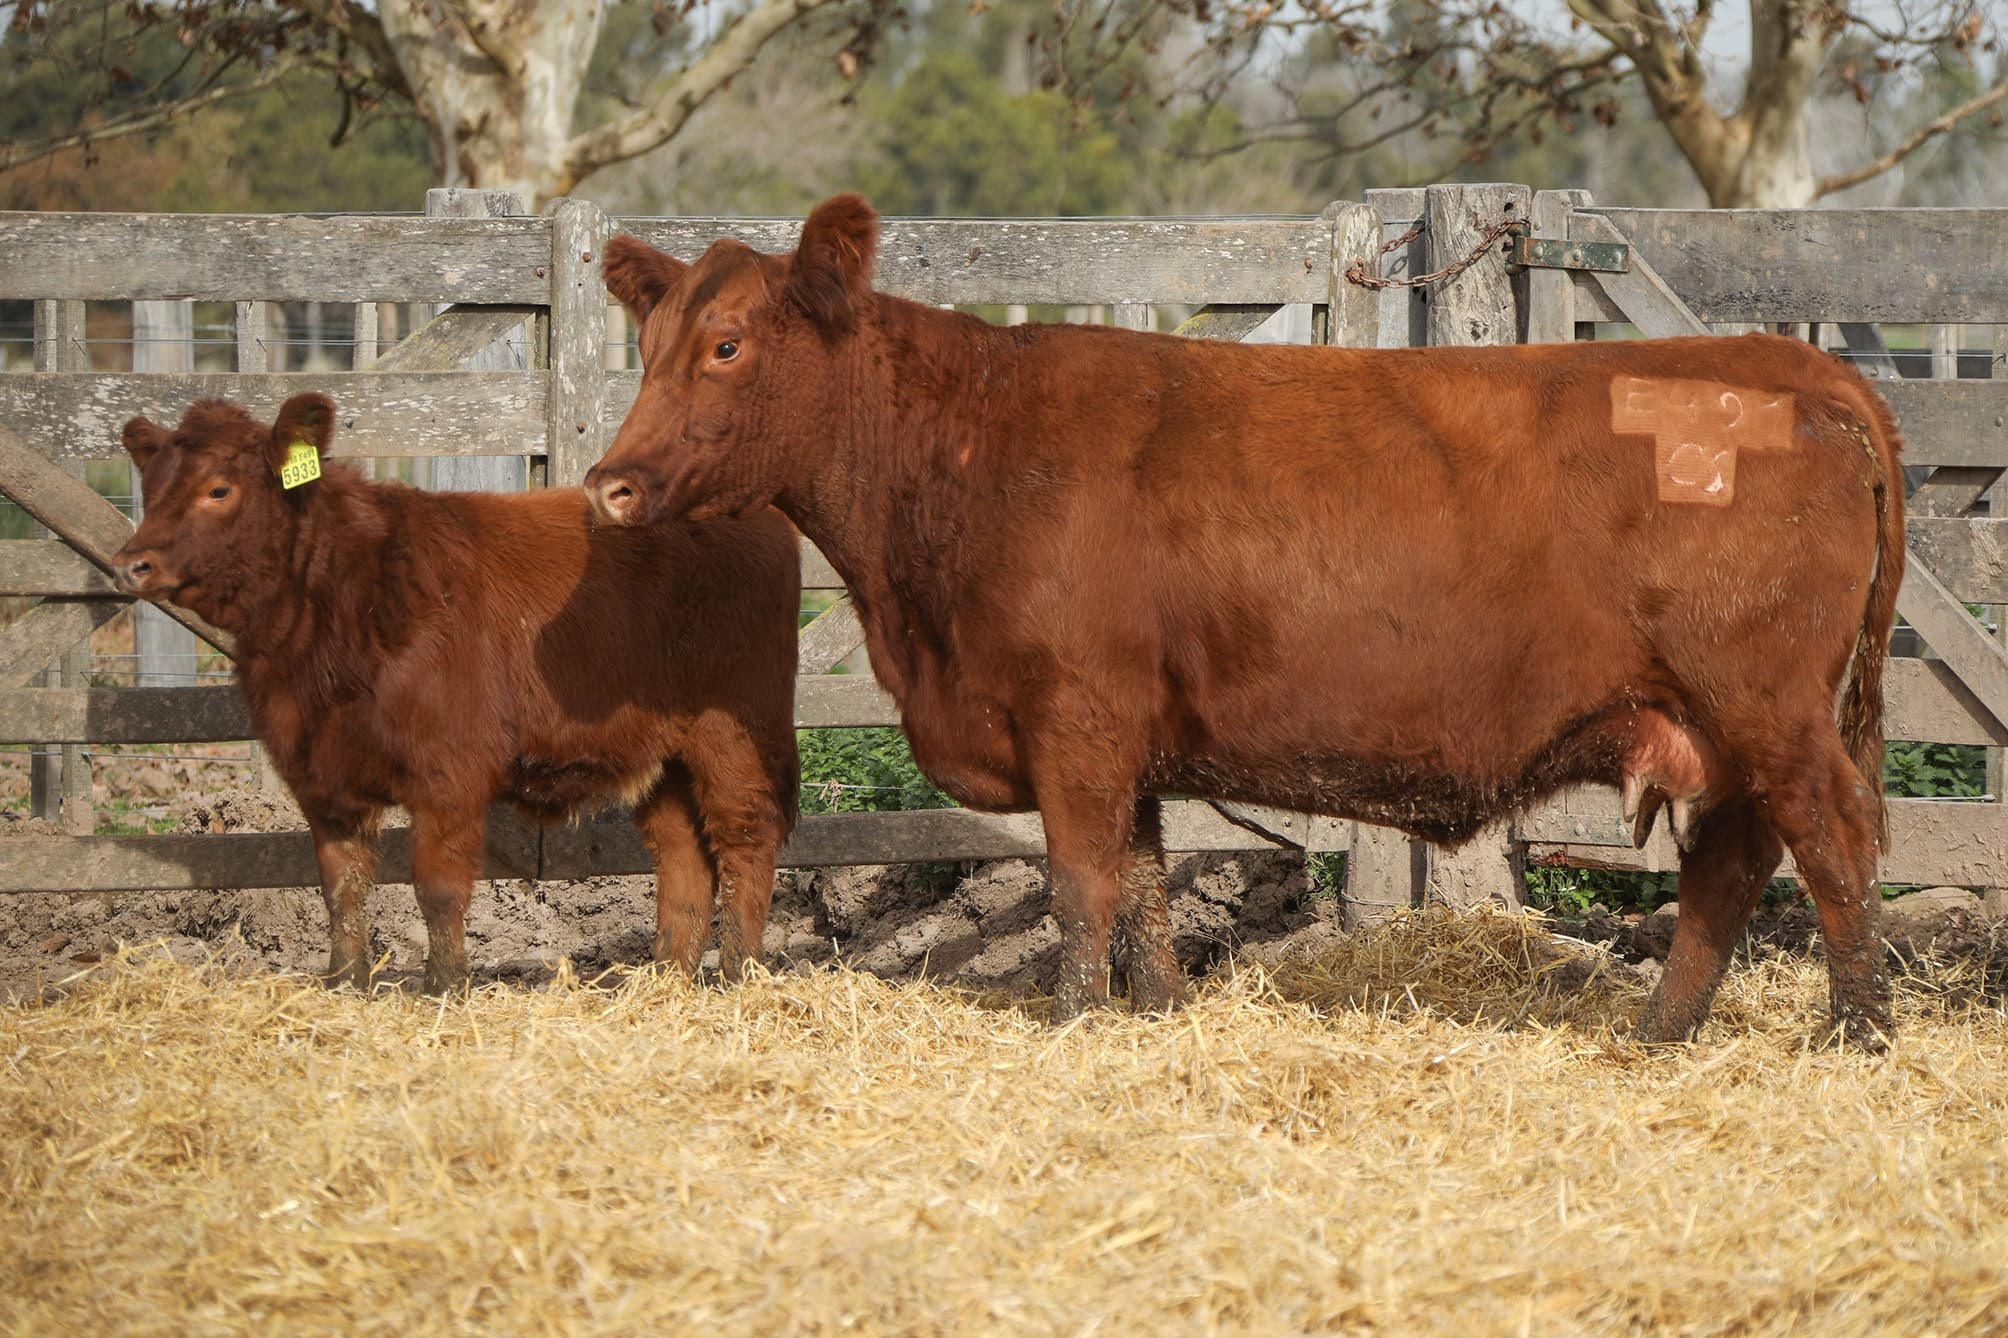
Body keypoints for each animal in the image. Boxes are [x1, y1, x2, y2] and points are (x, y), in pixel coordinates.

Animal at [111, 394, 800, 995]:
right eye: (151, 487)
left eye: (218, 489)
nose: (131, 563)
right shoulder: (320, 780)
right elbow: (342, 887)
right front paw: (344, 982)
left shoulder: (449, 774)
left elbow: (437, 887)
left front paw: (443, 987)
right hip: (662, 756)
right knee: (682, 858)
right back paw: (666, 980)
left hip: (735, 734)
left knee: (745, 841)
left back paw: (738, 974)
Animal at [582, 195, 1906, 1049]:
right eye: (646, 344)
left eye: (726, 344)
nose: (609, 486)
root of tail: (1790, 368)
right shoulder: (1124, 739)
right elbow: (1145, 884)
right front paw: (1158, 1014)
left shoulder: (1075, 722)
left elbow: (1081, 889)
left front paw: (1074, 1023)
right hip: (1725, 728)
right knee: (1730, 865)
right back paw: (1658, 1034)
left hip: (1770, 709)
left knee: (1835, 842)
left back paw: (1857, 1034)